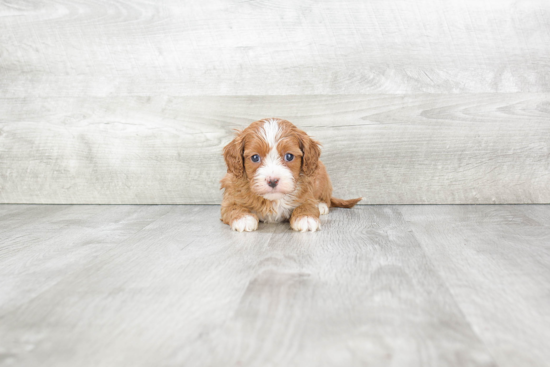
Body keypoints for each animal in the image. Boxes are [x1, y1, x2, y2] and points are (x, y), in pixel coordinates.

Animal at [222, 118, 364, 233]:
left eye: (289, 156)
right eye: (255, 157)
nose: (272, 181)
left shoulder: (307, 194)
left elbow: (307, 205)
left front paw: (306, 217)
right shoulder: (230, 196)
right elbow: (233, 207)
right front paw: (243, 218)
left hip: (322, 176)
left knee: (327, 198)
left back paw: (321, 205)